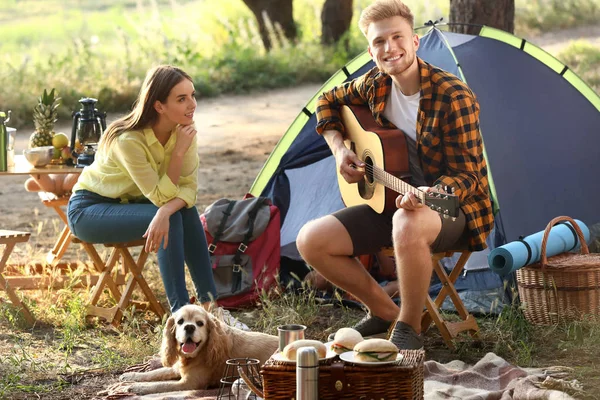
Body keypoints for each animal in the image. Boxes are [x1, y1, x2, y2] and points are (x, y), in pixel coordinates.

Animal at [116, 306, 278, 394]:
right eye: (180, 321)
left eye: (200, 323)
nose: (189, 327)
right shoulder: (176, 369)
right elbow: (153, 373)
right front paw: (130, 376)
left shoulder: (188, 384)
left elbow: (160, 385)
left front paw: (137, 387)